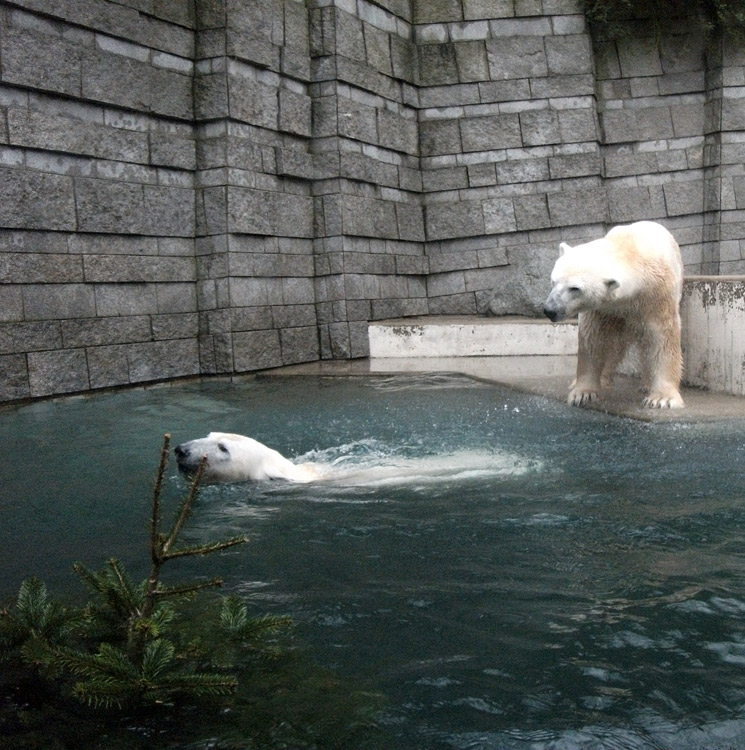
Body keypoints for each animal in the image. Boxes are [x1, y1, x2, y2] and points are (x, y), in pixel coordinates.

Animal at [544, 222, 684, 412]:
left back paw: (646, 384)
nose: (550, 310)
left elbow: (662, 338)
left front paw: (661, 399)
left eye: (575, 288)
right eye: (553, 281)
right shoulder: (603, 309)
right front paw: (583, 393)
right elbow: (593, 339)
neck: (630, 251)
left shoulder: (657, 296)